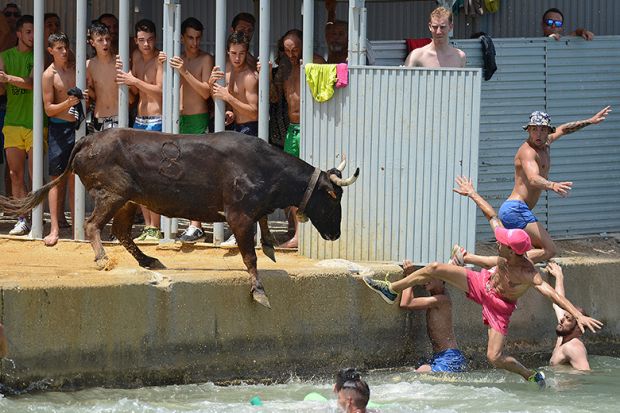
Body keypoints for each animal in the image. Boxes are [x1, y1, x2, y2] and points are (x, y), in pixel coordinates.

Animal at [0, 129, 358, 306]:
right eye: (333, 199)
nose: (337, 234)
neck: (265, 168)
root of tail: (87, 139)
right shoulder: (238, 215)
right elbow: (249, 255)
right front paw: (258, 290)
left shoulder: (252, 211)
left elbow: (263, 228)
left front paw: (270, 243)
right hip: (113, 193)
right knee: (93, 225)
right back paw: (102, 259)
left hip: (130, 199)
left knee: (122, 231)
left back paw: (148, 260)